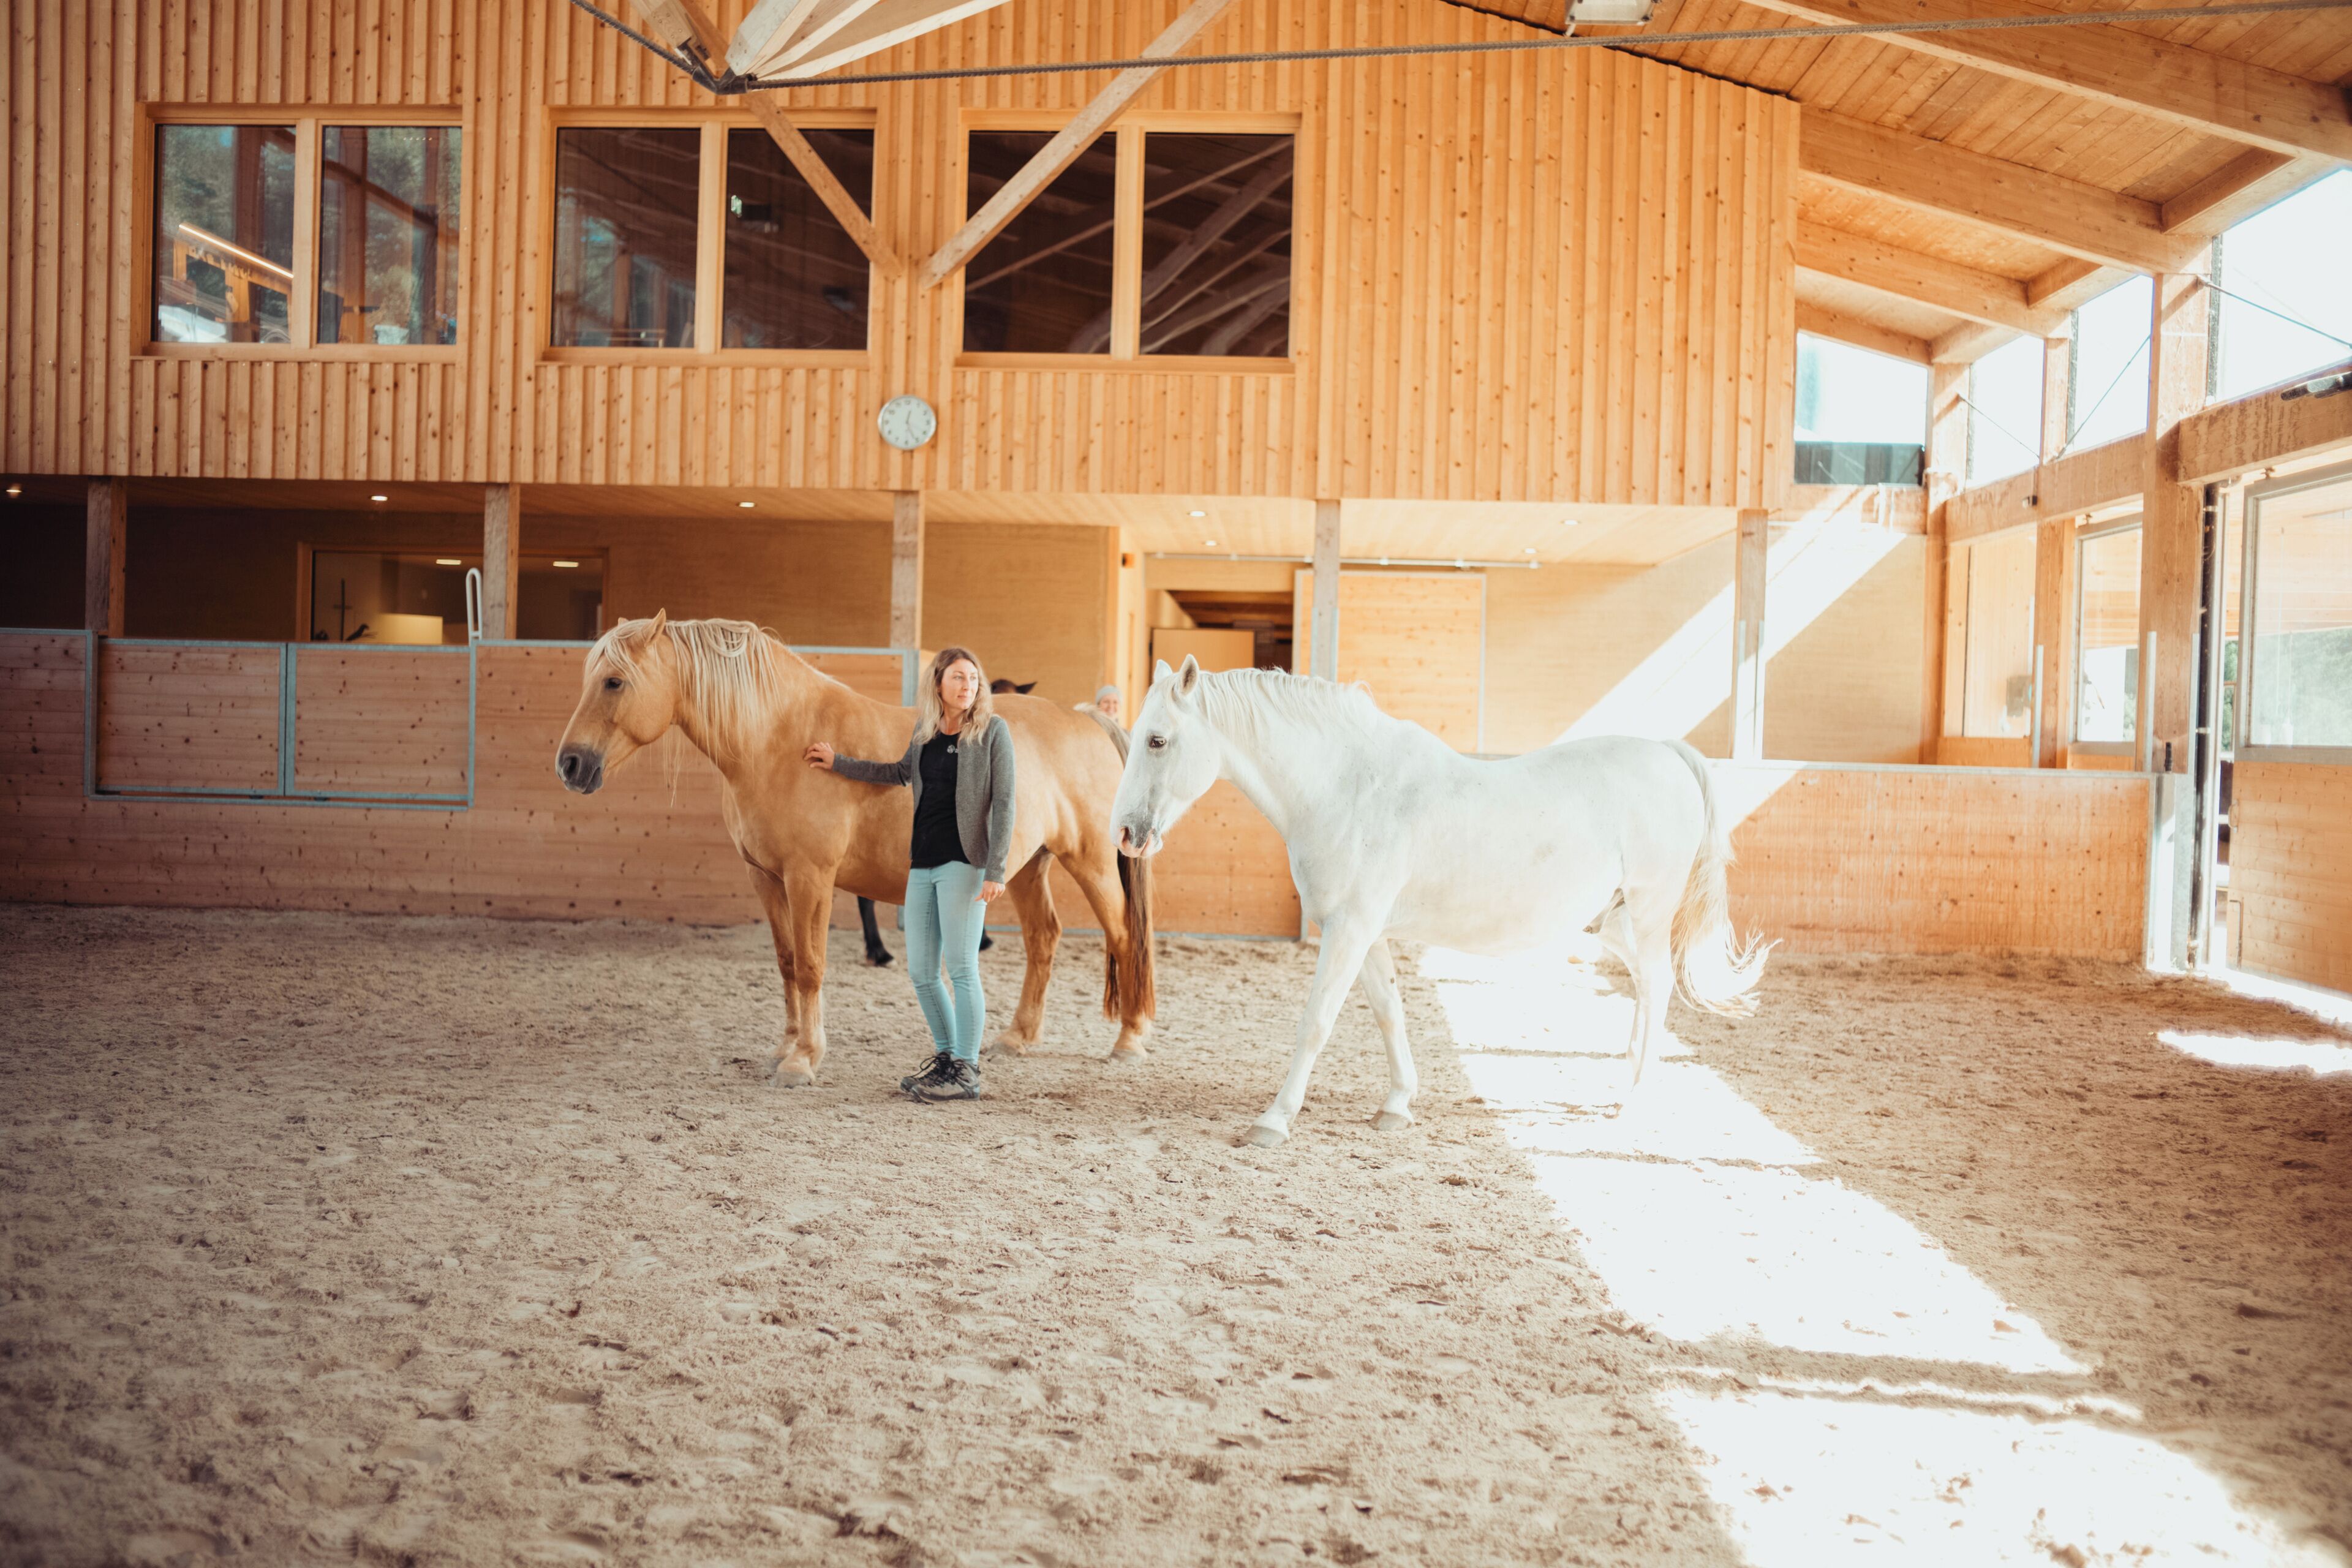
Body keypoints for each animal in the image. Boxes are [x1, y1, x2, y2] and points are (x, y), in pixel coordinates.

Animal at [555, 614, 1155, 1082]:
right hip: (1025, 866)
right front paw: (784, 1047)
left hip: (1091, 863)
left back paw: (1128, 1040)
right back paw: (1017, 1037)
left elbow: (811, 965)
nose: (570, 764)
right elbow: (786, 962)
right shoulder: (766, 878)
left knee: (1124, 936)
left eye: (614, 682)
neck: (779, 740)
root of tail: (1088, 720)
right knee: (1044, 939)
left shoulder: (809, 877)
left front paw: (803, 1060)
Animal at [1109, 657, 1767, 1148]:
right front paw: (1397, 1106)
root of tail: (1669, 754)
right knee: (1644, 987)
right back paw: (1622, 1083)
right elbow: (1389, 1013)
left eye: (1158, 740)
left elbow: (1317, 1021)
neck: (1349, 788)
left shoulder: (1350, 930)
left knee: (1657, 986)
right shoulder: (1366, 933)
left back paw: (1632, 1102)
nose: (1124, 834)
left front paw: (1273, 1120)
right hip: (1613, 924)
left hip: (1651, 913)